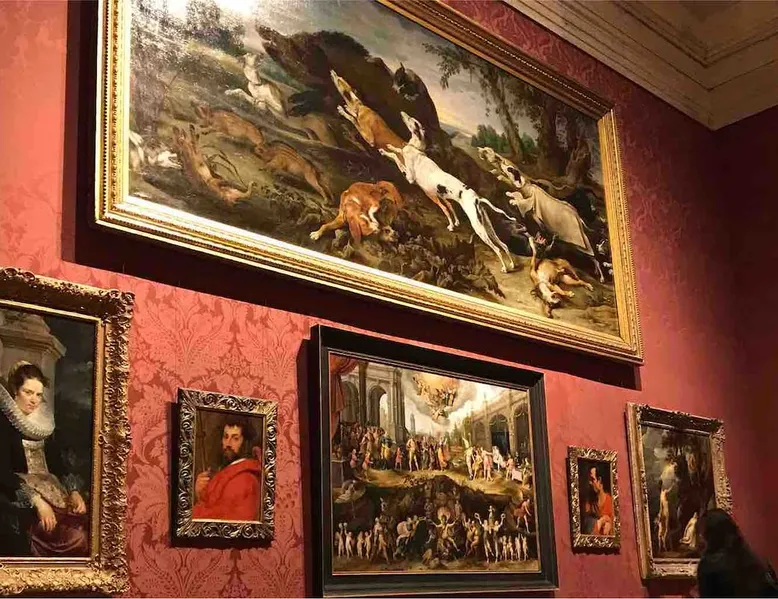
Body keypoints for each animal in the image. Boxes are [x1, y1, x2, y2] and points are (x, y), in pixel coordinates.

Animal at [381, 112, 516, 273]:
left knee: (497, 249)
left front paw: (385, 151)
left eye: (413, 121)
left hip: (479, 229)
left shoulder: (410, 177)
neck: (418, 150)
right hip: (487, 227)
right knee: (504, 245)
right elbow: (398, 150)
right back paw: (512, 265)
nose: (402, 113)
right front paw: (389, 147)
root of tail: (477, 198)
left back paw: (505, 268)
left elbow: (396, 158)